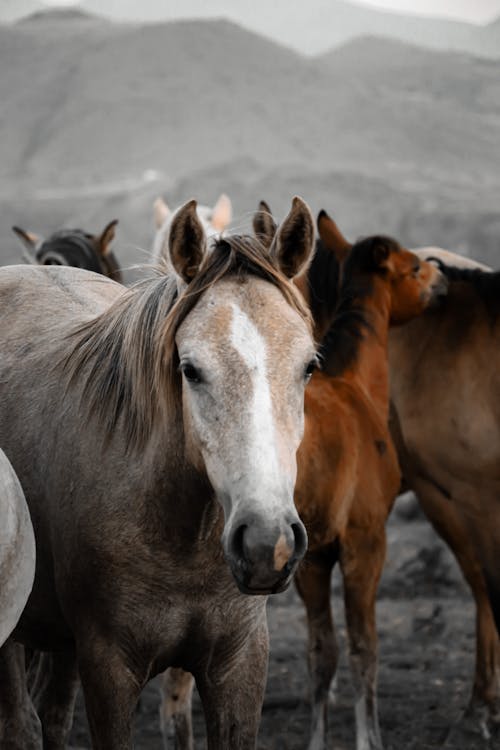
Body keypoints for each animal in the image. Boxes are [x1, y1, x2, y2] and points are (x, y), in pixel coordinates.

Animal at [0, 197, 316, 748]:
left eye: (309, 367)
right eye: (190, 369)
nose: (266, 543)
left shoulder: (239, 664)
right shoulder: (108, 668)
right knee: (21, 724)